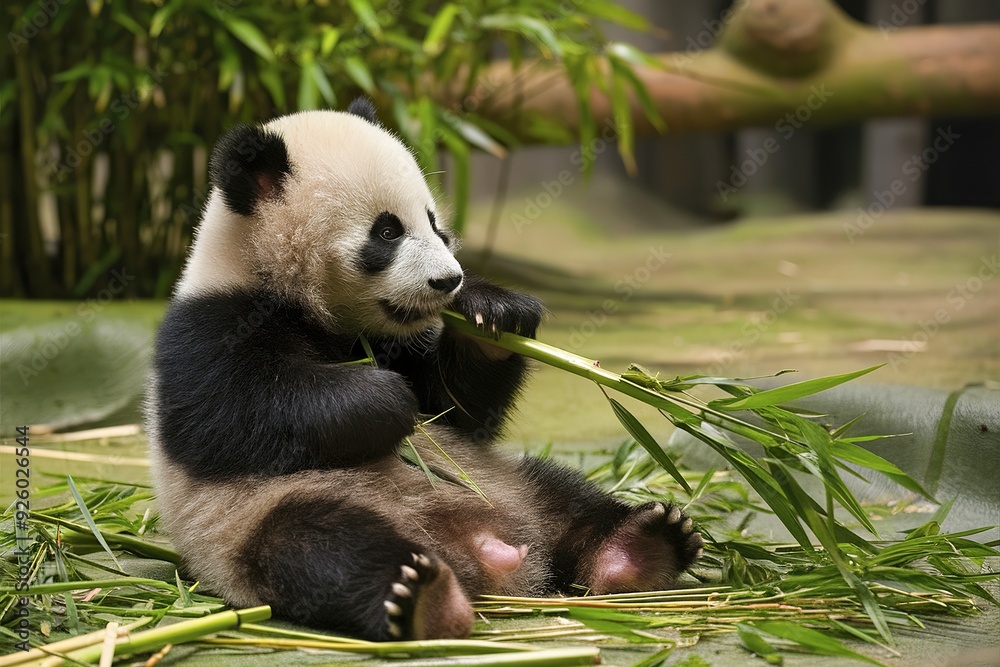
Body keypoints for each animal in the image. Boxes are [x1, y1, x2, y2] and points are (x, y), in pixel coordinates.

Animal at [146, 98, 704, 642]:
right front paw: (384, 399)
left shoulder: (399, 341)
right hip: (262, 515)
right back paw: (424, 599)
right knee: (321, 547)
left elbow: (458, 413)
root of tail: (487, 550)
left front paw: (493, 313)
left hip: (509, 480)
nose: (448, 280)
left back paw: (641, 545)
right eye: (387, 231)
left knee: (566, 495)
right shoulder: (210, 326)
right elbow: (228, 417)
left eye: (435, 223)